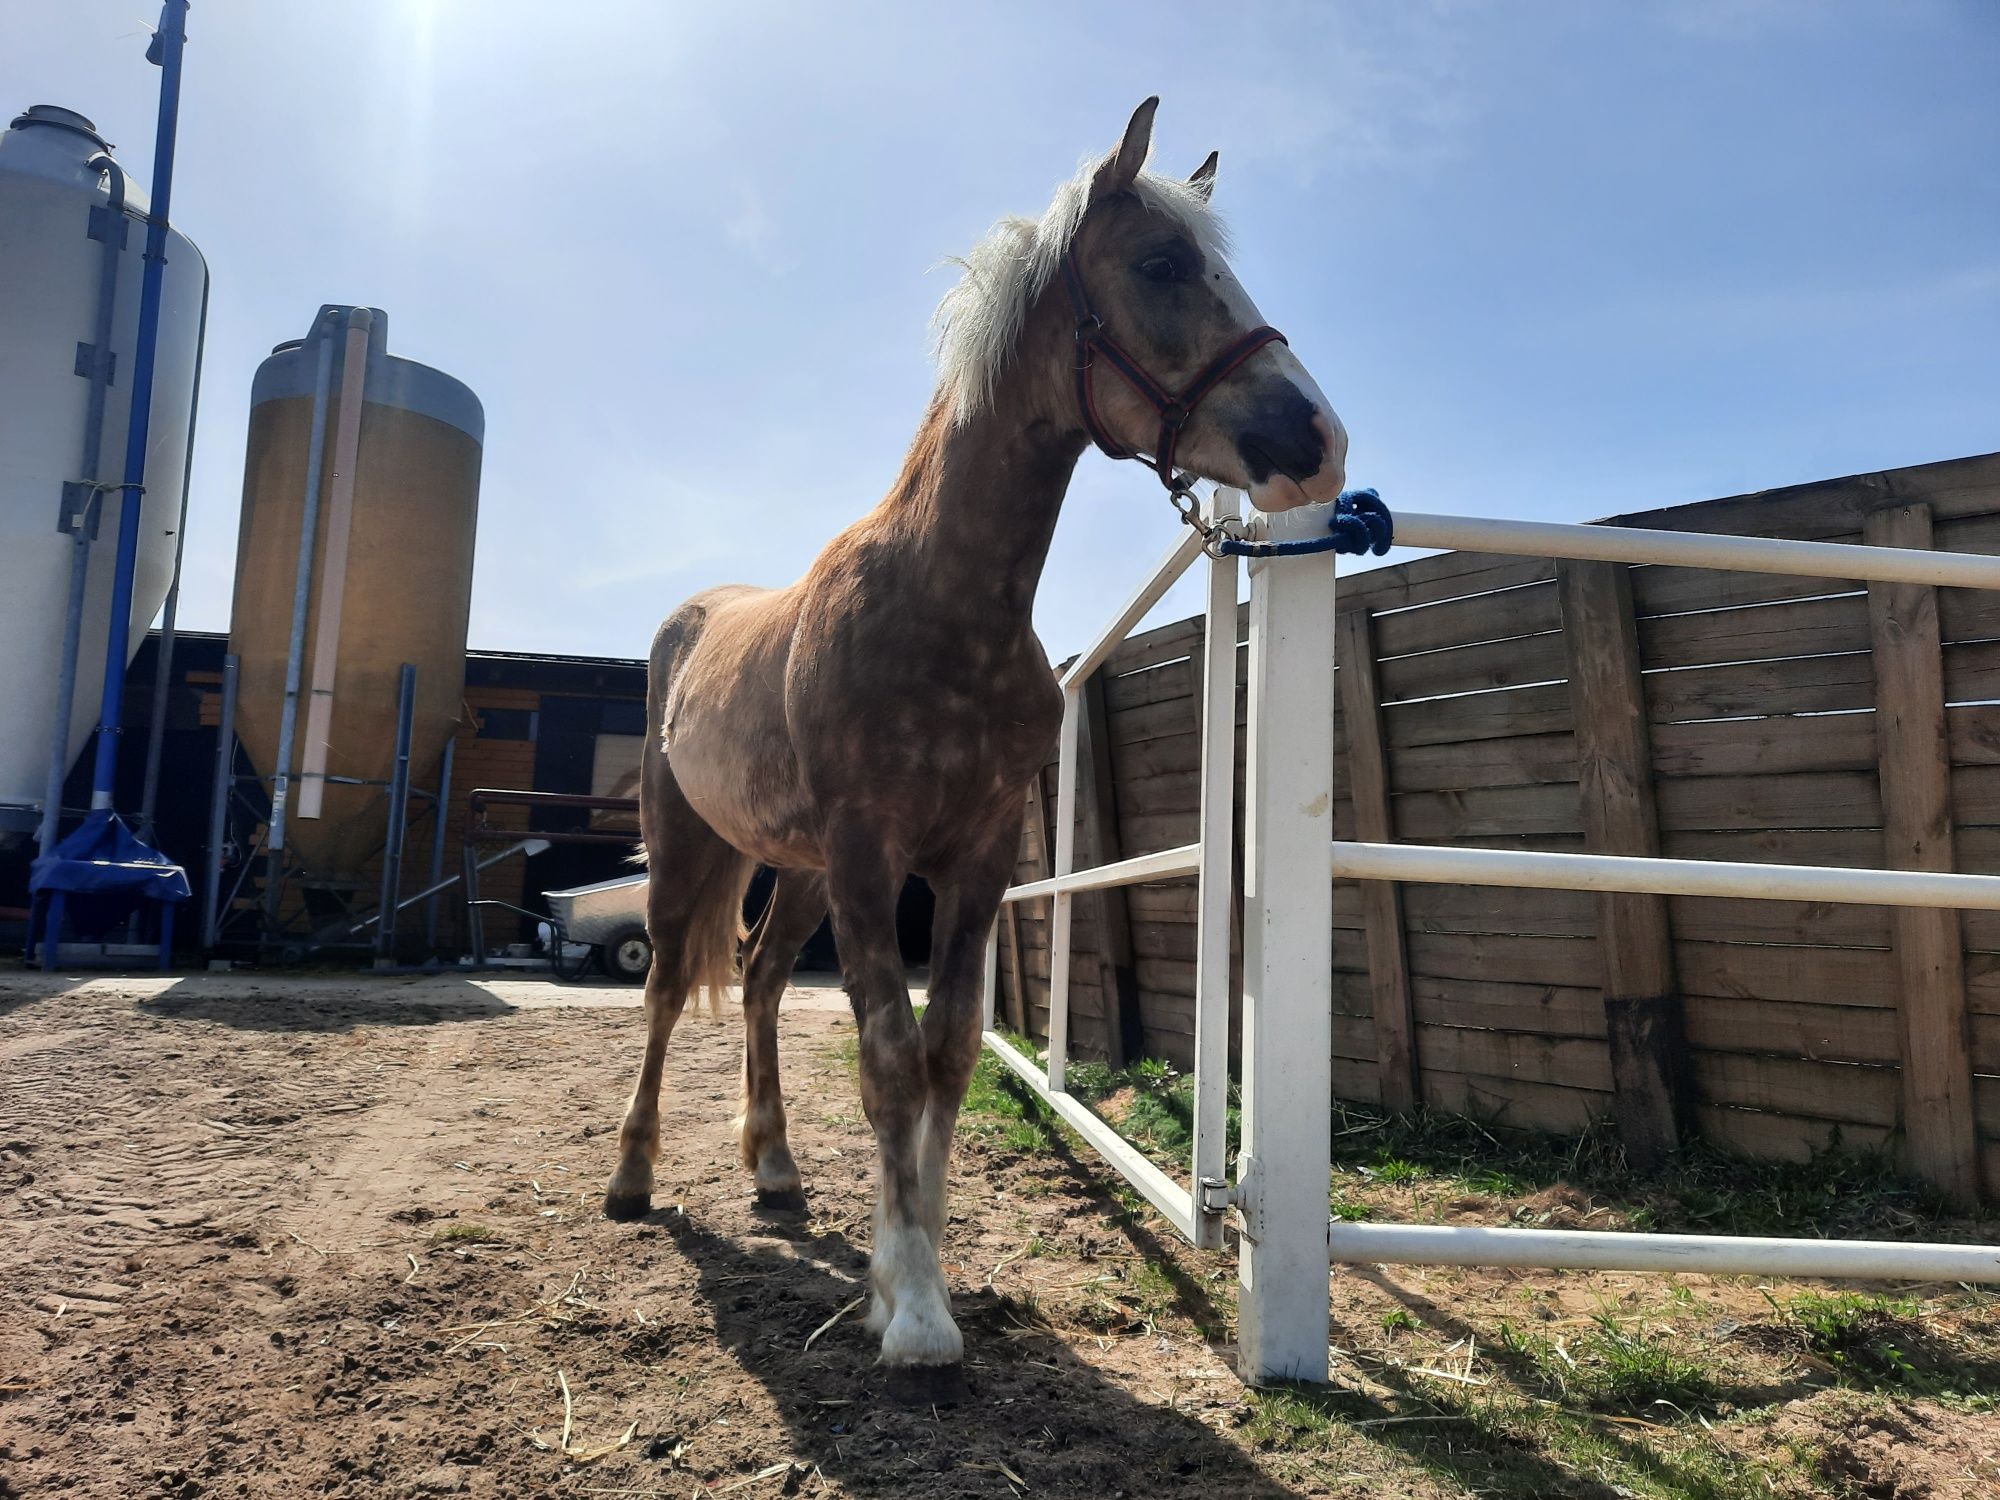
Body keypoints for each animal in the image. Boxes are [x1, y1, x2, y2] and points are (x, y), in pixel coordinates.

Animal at [592, 103, 1344, 1400]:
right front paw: (911, 1315)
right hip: (693, 847)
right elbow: (888, 1057)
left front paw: (913, 1268)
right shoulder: (868, 853)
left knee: (755, 980)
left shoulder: (975, 858)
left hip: (795, 872)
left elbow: (942, 1055)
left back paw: (775, 1171)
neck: (940, 604)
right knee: (662, 993)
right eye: (1161, 264)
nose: (1317, 436)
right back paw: (632, 1181)